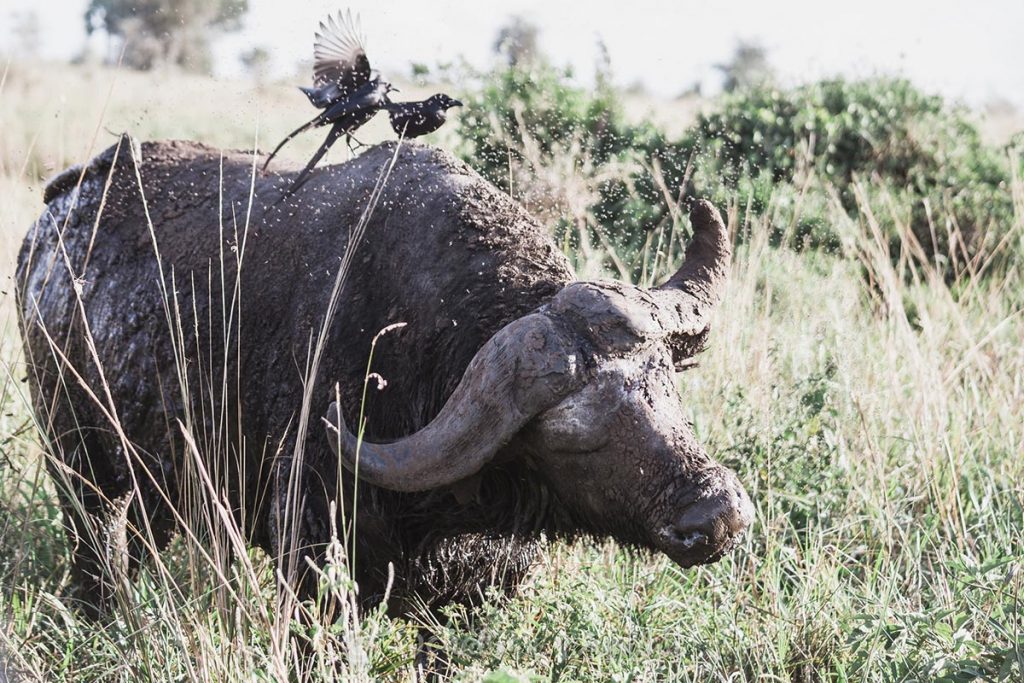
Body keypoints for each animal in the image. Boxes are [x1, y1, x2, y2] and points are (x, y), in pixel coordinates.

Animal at [14, 136, 753, 618]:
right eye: (575, 434)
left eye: (669, 391)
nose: (718, 513)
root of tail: (52, 219)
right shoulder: (314, 567)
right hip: (81, 476)